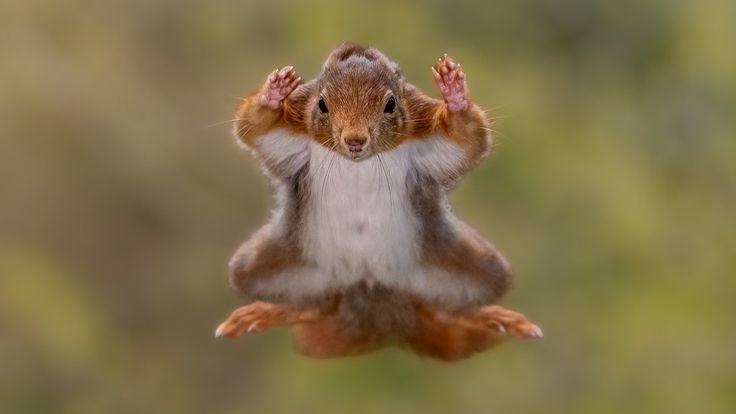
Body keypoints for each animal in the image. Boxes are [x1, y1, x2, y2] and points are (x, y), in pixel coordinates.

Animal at [215, 43, 541, 361]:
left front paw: (455, 94)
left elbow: (467, 139)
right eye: (322, 104)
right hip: (269, 265)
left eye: (391, 104)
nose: (355, 141)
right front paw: (273, 94)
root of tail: (374, 299)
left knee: (443, 309)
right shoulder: (293, 136)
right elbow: (254, 129)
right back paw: (270, 311)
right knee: (314, 305)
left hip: (470, 265)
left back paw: (489, 317)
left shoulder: (425, 136)